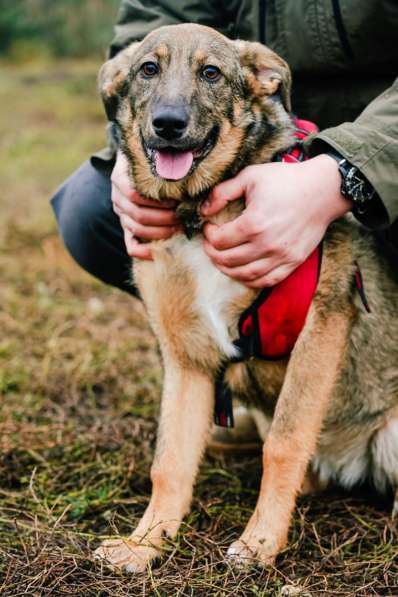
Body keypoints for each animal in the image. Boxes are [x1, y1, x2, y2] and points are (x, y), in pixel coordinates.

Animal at [94, 24, 398, 572]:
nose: (168, 124)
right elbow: (169, 461)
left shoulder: (323, 324)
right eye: (148, 68)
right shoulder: (186, 355)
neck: (196, 212)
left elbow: (284, 441)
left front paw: (260, 543)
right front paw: (145, 542)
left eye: (211, 72)